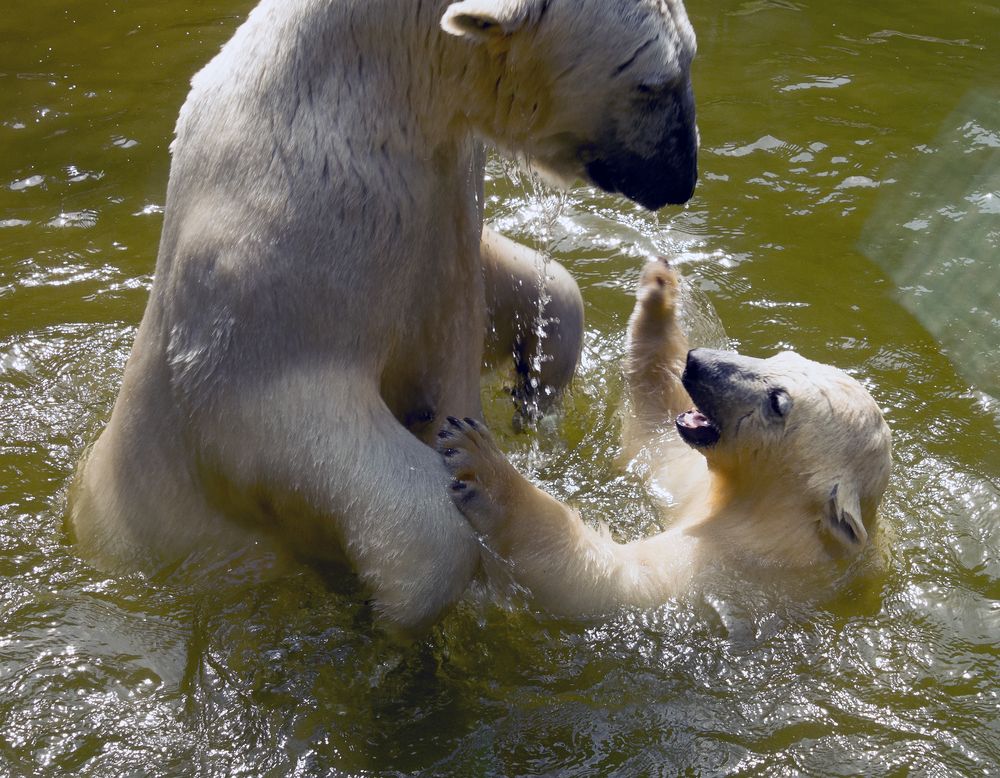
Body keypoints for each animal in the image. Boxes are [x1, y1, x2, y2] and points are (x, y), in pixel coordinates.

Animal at [70, 0, 700, 632]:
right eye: (654, 83)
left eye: (687, 60)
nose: (683, 178)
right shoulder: (270, 276)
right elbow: (277, 422)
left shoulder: (437, 213)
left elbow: (501, 285)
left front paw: (533, 385)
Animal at [438, 264, 892, 616]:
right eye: (779, 357)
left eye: (777, 402)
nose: (697, 362)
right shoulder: (693, 484)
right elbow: (654, 430)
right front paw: (659, 289)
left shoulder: (732, 564)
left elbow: (618, 584)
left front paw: (479, 465)